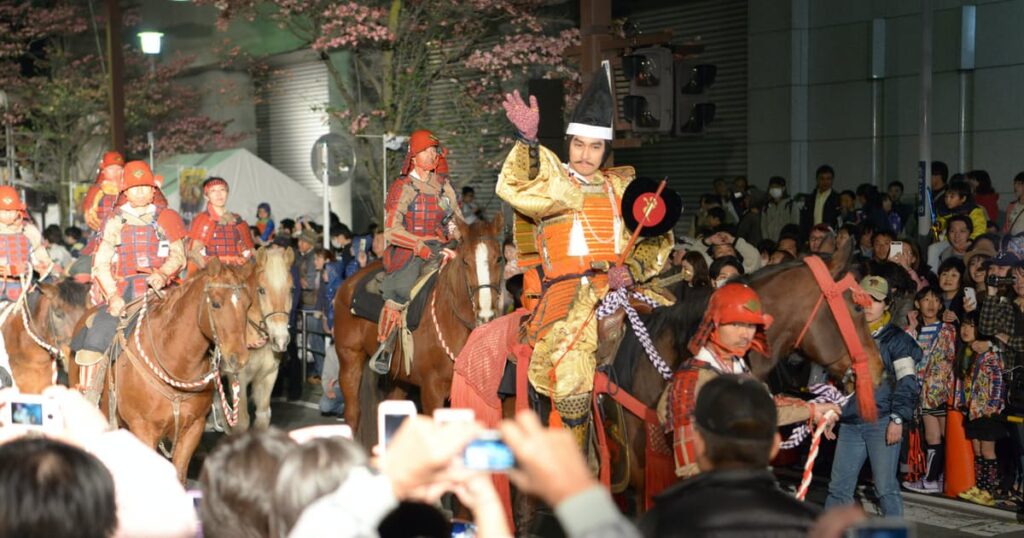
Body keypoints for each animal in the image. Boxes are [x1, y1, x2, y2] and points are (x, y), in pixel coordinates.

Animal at [68, 258, 251, 479]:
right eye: (216, 303)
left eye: (248, 304)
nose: (239, 358)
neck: (175, 364)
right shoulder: (143, 429)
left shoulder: (193, 429)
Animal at [333, 214, 505, 440]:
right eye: (465, 261)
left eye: (499, 259)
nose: (486, 316)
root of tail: (348, 283)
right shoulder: (432, 391)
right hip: (350, 359)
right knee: (353, 413)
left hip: (398, 376)